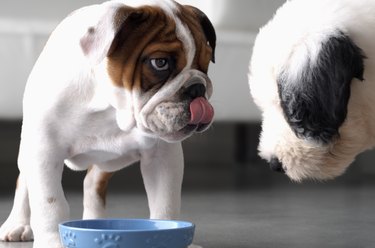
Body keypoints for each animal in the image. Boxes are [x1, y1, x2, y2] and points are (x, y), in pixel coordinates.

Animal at [0, 0, 216, 247]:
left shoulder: (163, 158)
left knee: (92, 183)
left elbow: (165, 201)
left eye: (206, 63)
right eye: (160, 63)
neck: (111, 108)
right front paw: (53, 241)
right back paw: (17, 224)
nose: (198, 87)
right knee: (24, 182)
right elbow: (50, 203)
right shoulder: (44, 151)